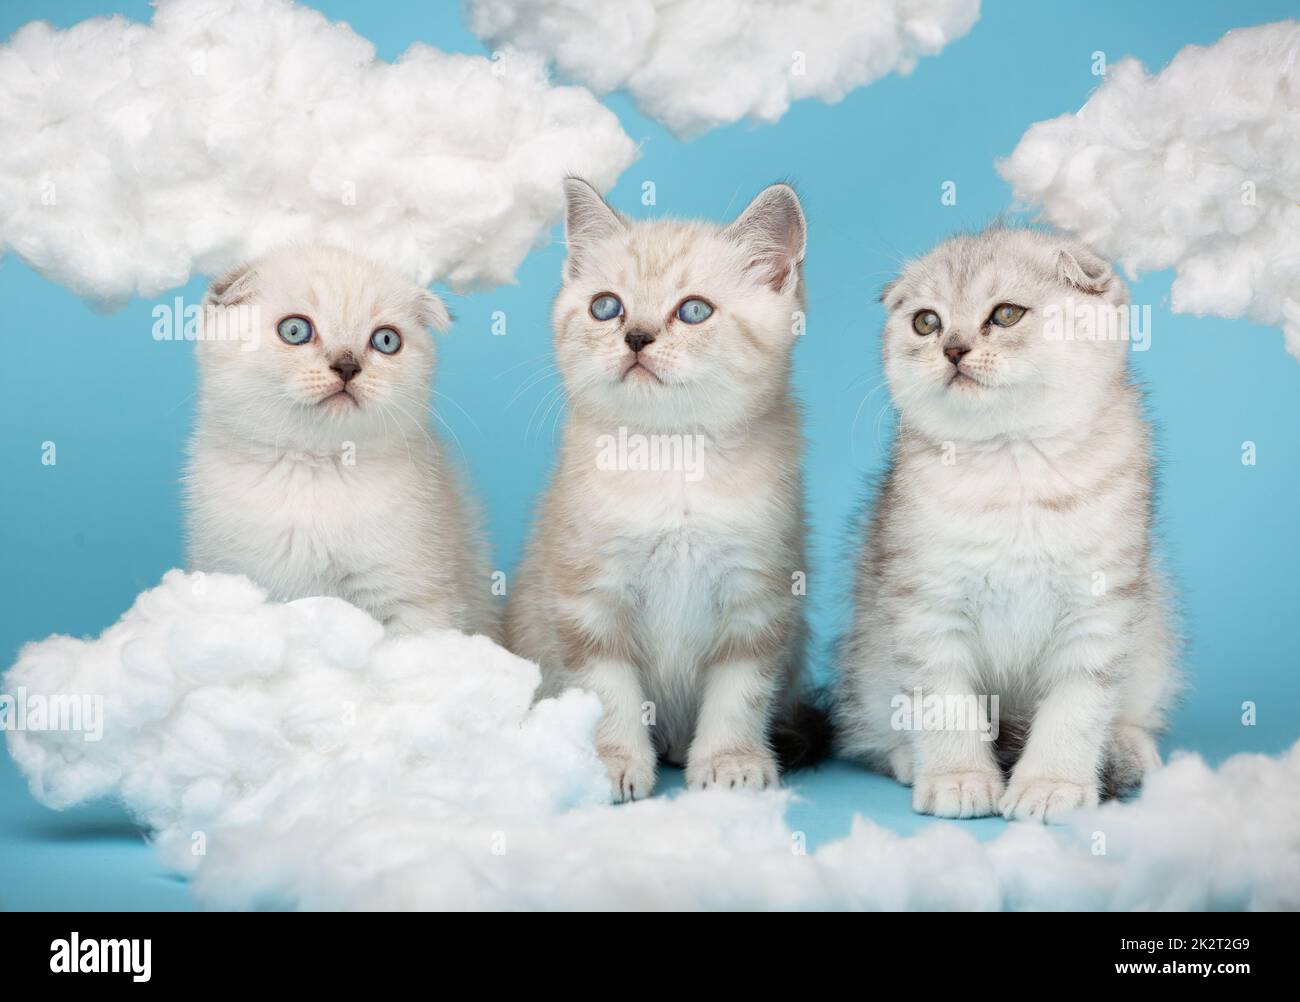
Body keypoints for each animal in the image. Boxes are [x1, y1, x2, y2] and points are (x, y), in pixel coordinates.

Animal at [185, 244, 499, 639]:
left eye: (386, 340)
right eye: (294, 330)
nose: (347, 366)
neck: (313, 467)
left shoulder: (411, 598)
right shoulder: (235, 574)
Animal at [504, 180, 821, 805]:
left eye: (694, 311)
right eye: (606, 307)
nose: (636, 337)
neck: (671, 453)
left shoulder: (760, 598)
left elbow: (738, 695)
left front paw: (729, 762)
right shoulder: (589, 599)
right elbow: (608, 694)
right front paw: (612, 763)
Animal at [837, 227, 1185, 821]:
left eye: (1005, 315)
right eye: (926, 323)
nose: (953, 348)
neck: (1013, 460)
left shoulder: (1099, 608)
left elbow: (1076, 708)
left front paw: (1052, 784)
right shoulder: (926, 605)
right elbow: (943, 703)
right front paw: (958, 778)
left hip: (1154, 638)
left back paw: (1131, 747)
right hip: (866, 658)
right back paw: (909, 758)